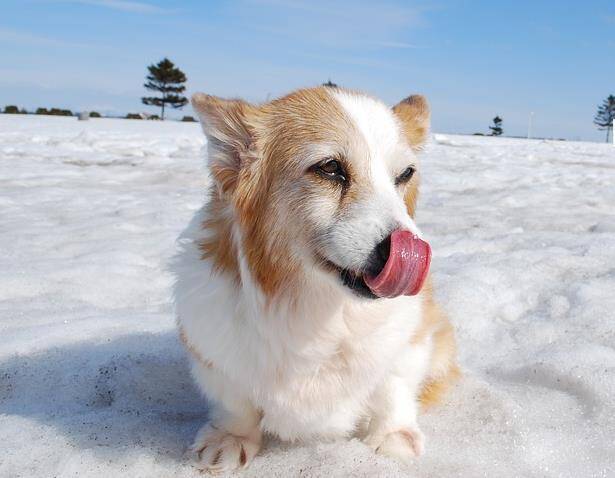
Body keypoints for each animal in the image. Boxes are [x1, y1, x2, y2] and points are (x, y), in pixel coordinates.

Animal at [173, 85, 458, 470]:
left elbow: (393, 388)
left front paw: (392, 438)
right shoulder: (213, 355)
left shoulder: (411, 342)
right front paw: (230, 439)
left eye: (405, 174)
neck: (323, 311)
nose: (410, 251)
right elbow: (235, 402)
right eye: (330, 168)